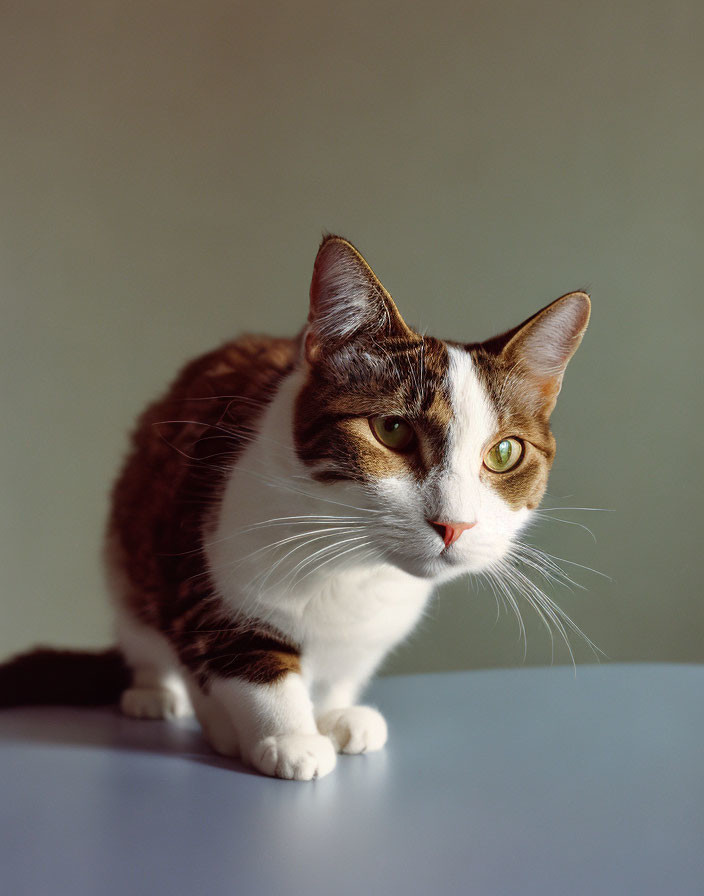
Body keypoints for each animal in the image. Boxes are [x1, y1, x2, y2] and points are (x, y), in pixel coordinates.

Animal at [0, 236, 592, 776]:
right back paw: (156, 694)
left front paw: (333, 715)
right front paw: (284, 738)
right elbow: (242, 663)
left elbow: (342, 669)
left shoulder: (372, 625)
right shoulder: (197, 565)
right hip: (129, 539)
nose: (453, 524)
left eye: (505, 452)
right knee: (145, 633)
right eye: (392, 429)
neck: (354, 565)